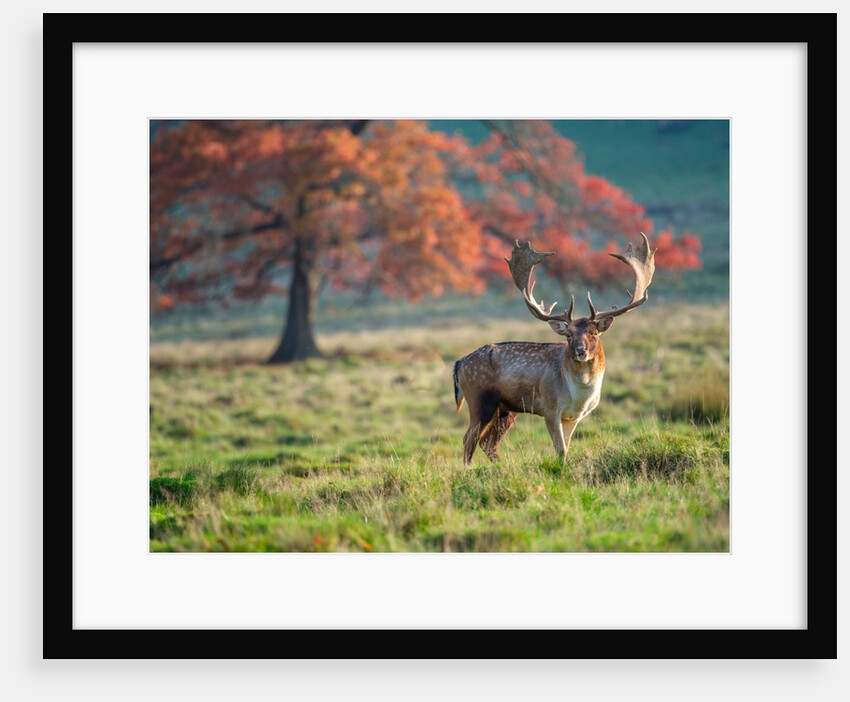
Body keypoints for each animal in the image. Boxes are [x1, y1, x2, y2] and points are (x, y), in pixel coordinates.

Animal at [452, 233, 656, 464]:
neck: (579, 395)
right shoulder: (550, 408)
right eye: (568, 335)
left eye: (594, 333)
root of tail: (458, 364)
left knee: (488, 442)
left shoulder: (573, 417)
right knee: (469, 438)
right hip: (479, 399)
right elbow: (560, 449)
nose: (581, 351)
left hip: (504, 409)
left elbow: (565, 448)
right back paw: (468, 469)